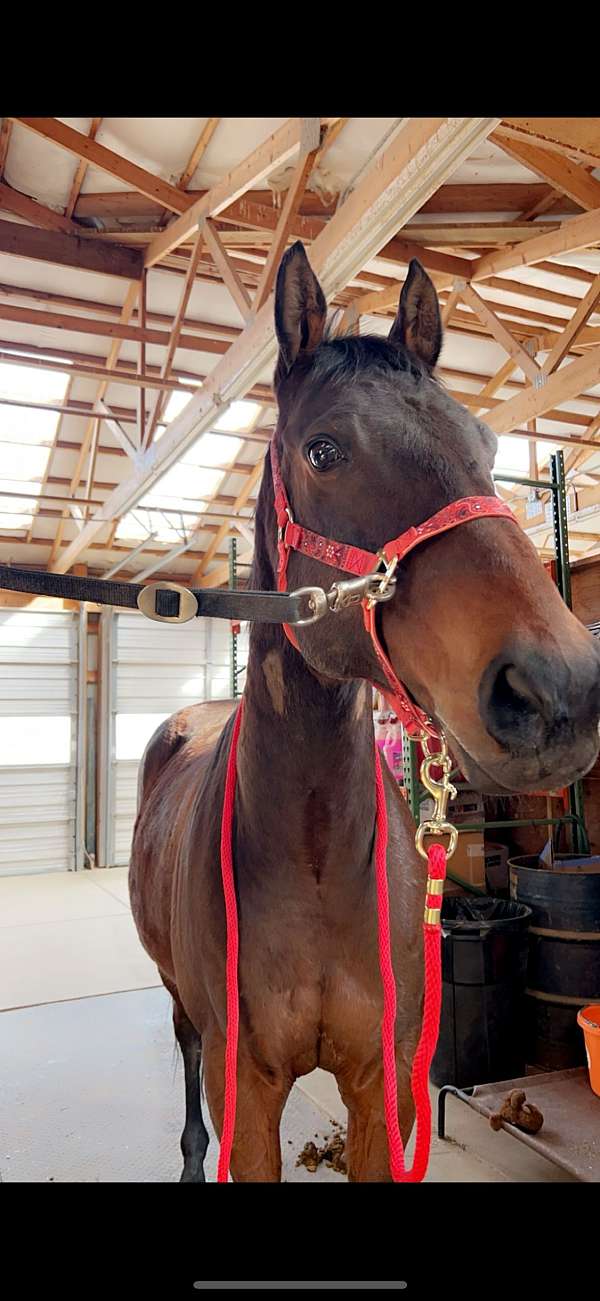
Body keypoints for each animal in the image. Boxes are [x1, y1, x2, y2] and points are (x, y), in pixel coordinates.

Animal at [129, 243, 600, 1182]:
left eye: (488, 443)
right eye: (323, 449)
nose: (558, 690)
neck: (313, 857)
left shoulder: (382, 1088)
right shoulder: (248, 1098)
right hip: (180, 1002)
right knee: (185, 1054)